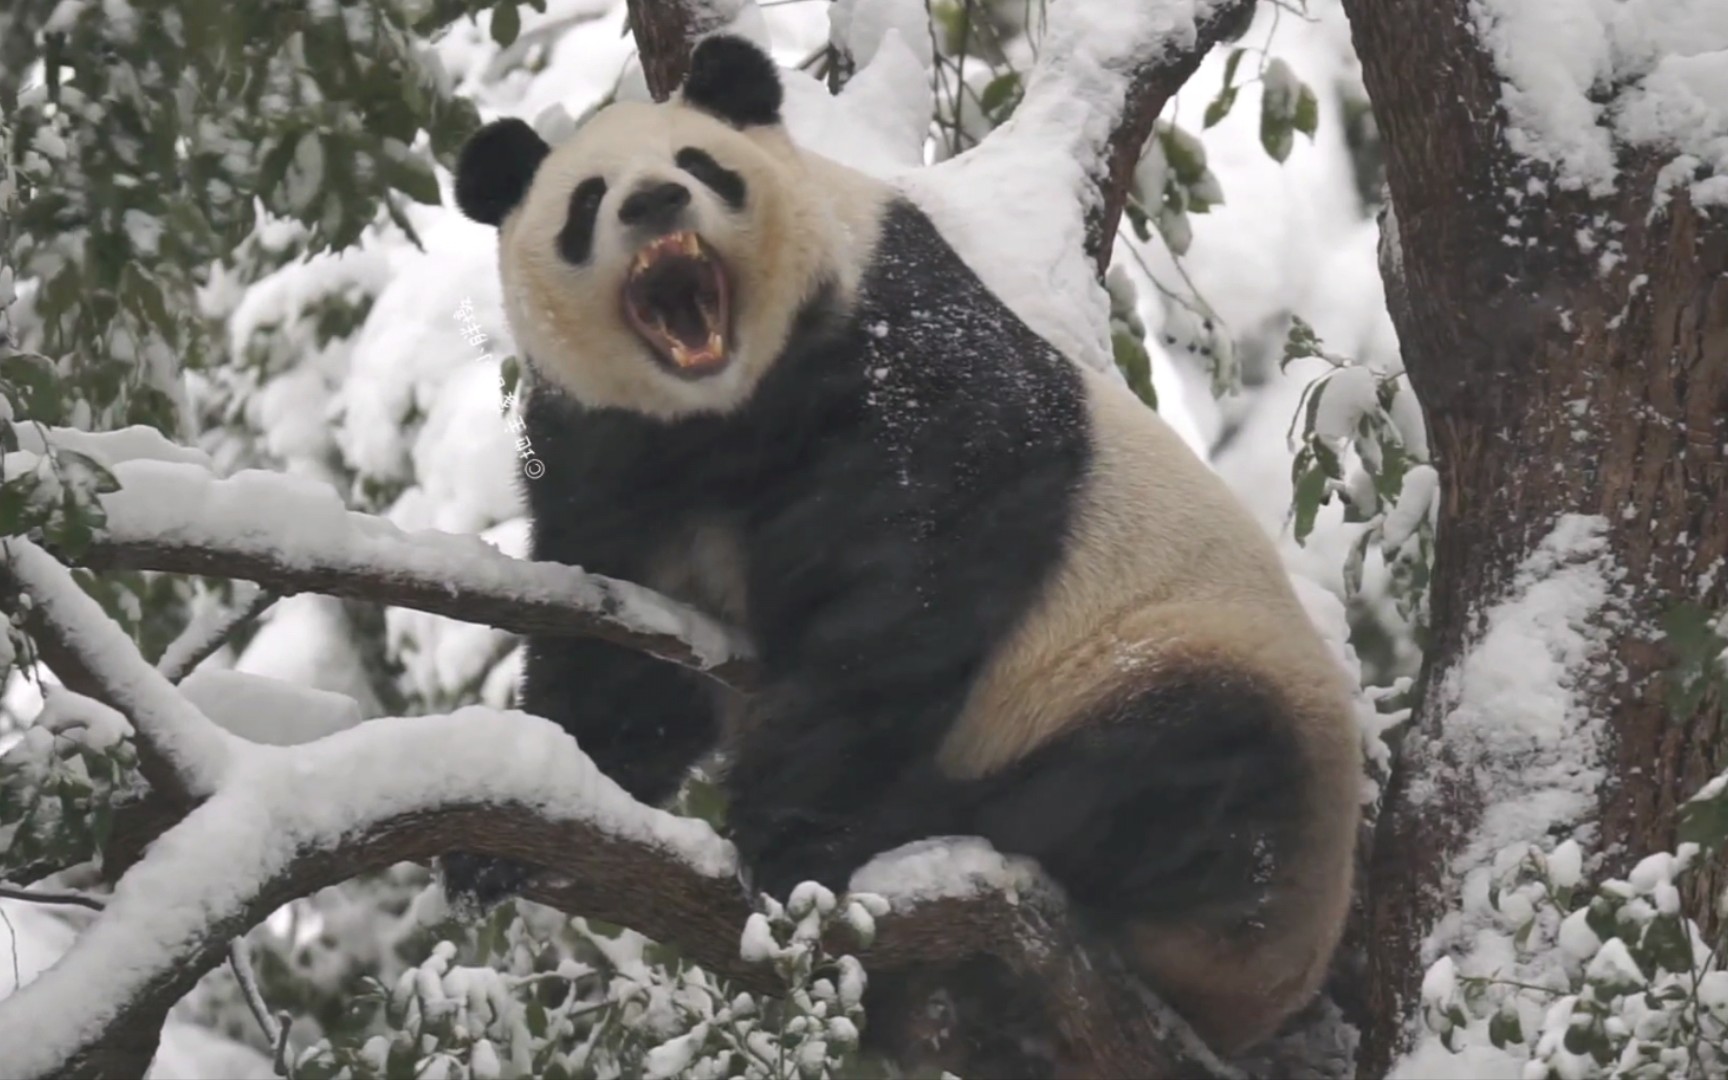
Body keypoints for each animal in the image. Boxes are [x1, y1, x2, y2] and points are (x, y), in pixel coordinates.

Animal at [449, 31, 1361, 1050]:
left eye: (700, 166)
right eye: (588, 200)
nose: (653, 202)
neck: (723, 405)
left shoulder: (897, 345)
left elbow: (908, 588)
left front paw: (788, 820)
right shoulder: (603, 447)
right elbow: (619, 661)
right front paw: (508, 826)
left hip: (1188, 669)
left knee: (1171, 772)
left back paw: (914, 820)